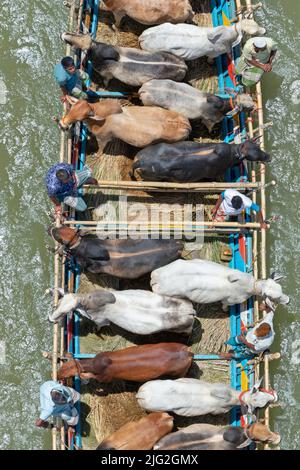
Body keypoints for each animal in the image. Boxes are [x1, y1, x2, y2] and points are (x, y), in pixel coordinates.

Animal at [48, 288, 196, 336]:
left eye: (66, 312)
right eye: (58, 303)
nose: (50, 319)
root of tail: (190, 310)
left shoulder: (101, 321)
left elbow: (98, 326)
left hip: (183, 330)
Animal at [56, 344, 192, 384]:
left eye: (68, 376)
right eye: (63, 366)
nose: (57, 375)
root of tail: (188, 352)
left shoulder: (105, 379)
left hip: (180, 373)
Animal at [151, 258, 290, 310]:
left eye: (281, 288)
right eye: (273, 298)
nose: (288, 301)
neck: (251, 286)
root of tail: (156, 278)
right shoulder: (230, 301)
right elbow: (225, 305)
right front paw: (225, 310)